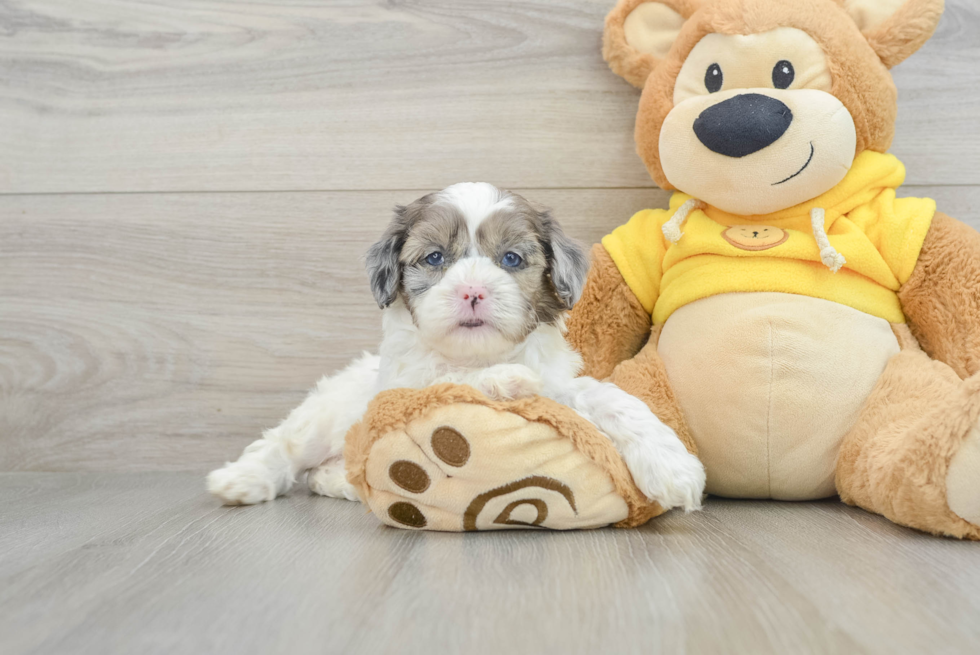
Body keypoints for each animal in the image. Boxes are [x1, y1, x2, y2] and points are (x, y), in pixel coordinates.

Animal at [209, 183, 704, 512]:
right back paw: (240, 479)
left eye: (511, 259)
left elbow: (608, 398)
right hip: (328, 412)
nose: (472, 291)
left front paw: (672, 465)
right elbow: (450, 379)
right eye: (434, 258)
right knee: (288, 446)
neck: (479, 353)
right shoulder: (403, 385)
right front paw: (506, 379)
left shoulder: (562, 385)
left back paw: (346, 482)